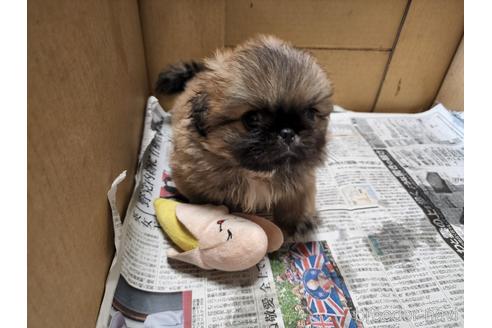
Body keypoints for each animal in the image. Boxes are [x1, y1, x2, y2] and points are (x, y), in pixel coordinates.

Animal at [157, 36, 334, 234]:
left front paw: (298, 221)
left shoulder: (302, 182)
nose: (287, 132)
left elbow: (295, 201)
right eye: (252, 119)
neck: (258, 174)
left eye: (311, 114)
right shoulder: (191, 180)